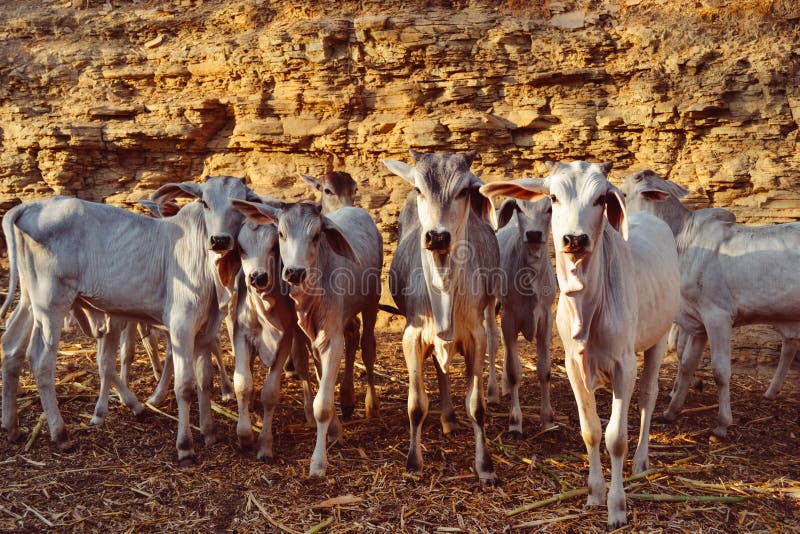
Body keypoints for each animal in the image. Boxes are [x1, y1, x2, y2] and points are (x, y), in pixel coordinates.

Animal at [383, 150, 501, 487]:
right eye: (419, 189)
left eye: (463, 191)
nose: (437, 236)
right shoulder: (412, 334)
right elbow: (416, 405)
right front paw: (413, 462)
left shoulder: (476, 336)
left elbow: (477, 406)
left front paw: (485, 466)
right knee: (439, 366)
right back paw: (447, 417)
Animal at [481, 161, 681, 527]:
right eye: (554, 197)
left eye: (601, 198)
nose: (575, 238)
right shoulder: (573, 366)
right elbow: (591, 431)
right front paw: (594, 493)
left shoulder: (624, 366)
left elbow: (616, 438)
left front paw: (617, 506)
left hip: (658, 339)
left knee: (648, 397)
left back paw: (642, 462)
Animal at [620, 170, 800, 436]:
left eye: (622, 193)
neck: (682, 241)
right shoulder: (697, 324)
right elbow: (686, 364)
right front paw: (671, 411)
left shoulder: (718, 316)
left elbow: (721, 370)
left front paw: (722, 423)